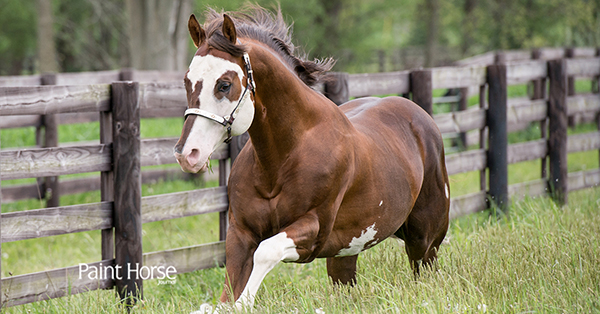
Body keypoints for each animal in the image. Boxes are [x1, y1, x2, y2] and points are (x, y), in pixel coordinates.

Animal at [171, 6, 448, 312]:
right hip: (344, 254)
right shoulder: (241, 232)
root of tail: (421, 118)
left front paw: (245, 302)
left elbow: (266, 251)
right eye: (187, 81)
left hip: (425, 242)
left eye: (224, 84)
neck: (280, 162)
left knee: (424, 268)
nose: (188, 154)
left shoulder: (313, 229)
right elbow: (228, 289)